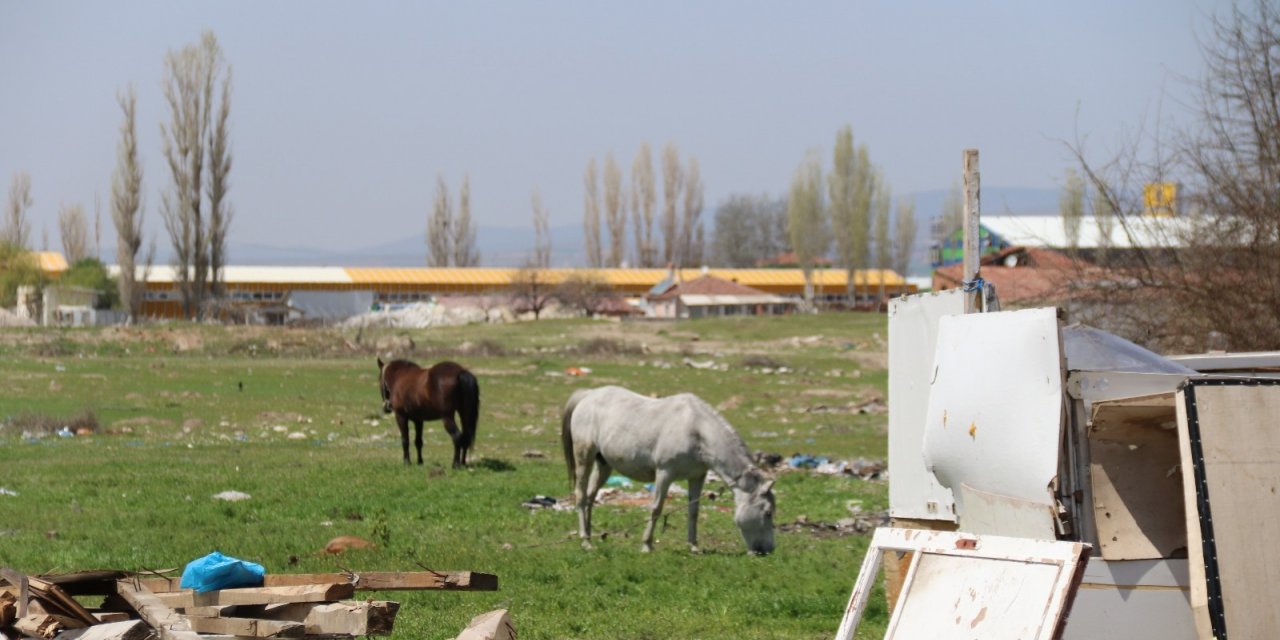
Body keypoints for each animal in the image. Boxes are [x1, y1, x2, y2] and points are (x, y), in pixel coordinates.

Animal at [563, 384, 778, 555]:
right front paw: (646, 545)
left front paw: (693, 546)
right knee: (581, 496)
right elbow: (656, 508)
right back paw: (585, 541)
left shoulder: (697, 476)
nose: (768, 550)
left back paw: (590, 535)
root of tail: (588, 395)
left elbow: (693, 511)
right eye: (768, 512)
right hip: (584, 457)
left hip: (604, 464)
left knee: (590, 497)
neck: (696, 431)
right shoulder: (664, 474)